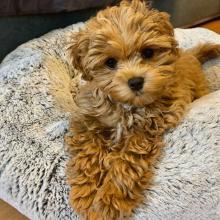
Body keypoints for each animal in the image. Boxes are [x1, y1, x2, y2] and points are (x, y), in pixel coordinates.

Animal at [65, 0, 220, 219]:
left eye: (148, 52)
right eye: (110, 62)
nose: (136, 81)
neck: (127, 106)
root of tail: (189, 55)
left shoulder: (148, 126)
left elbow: (127, 160)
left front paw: (109, 200)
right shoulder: (88, 118)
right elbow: (88, 150)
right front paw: (86, 192)